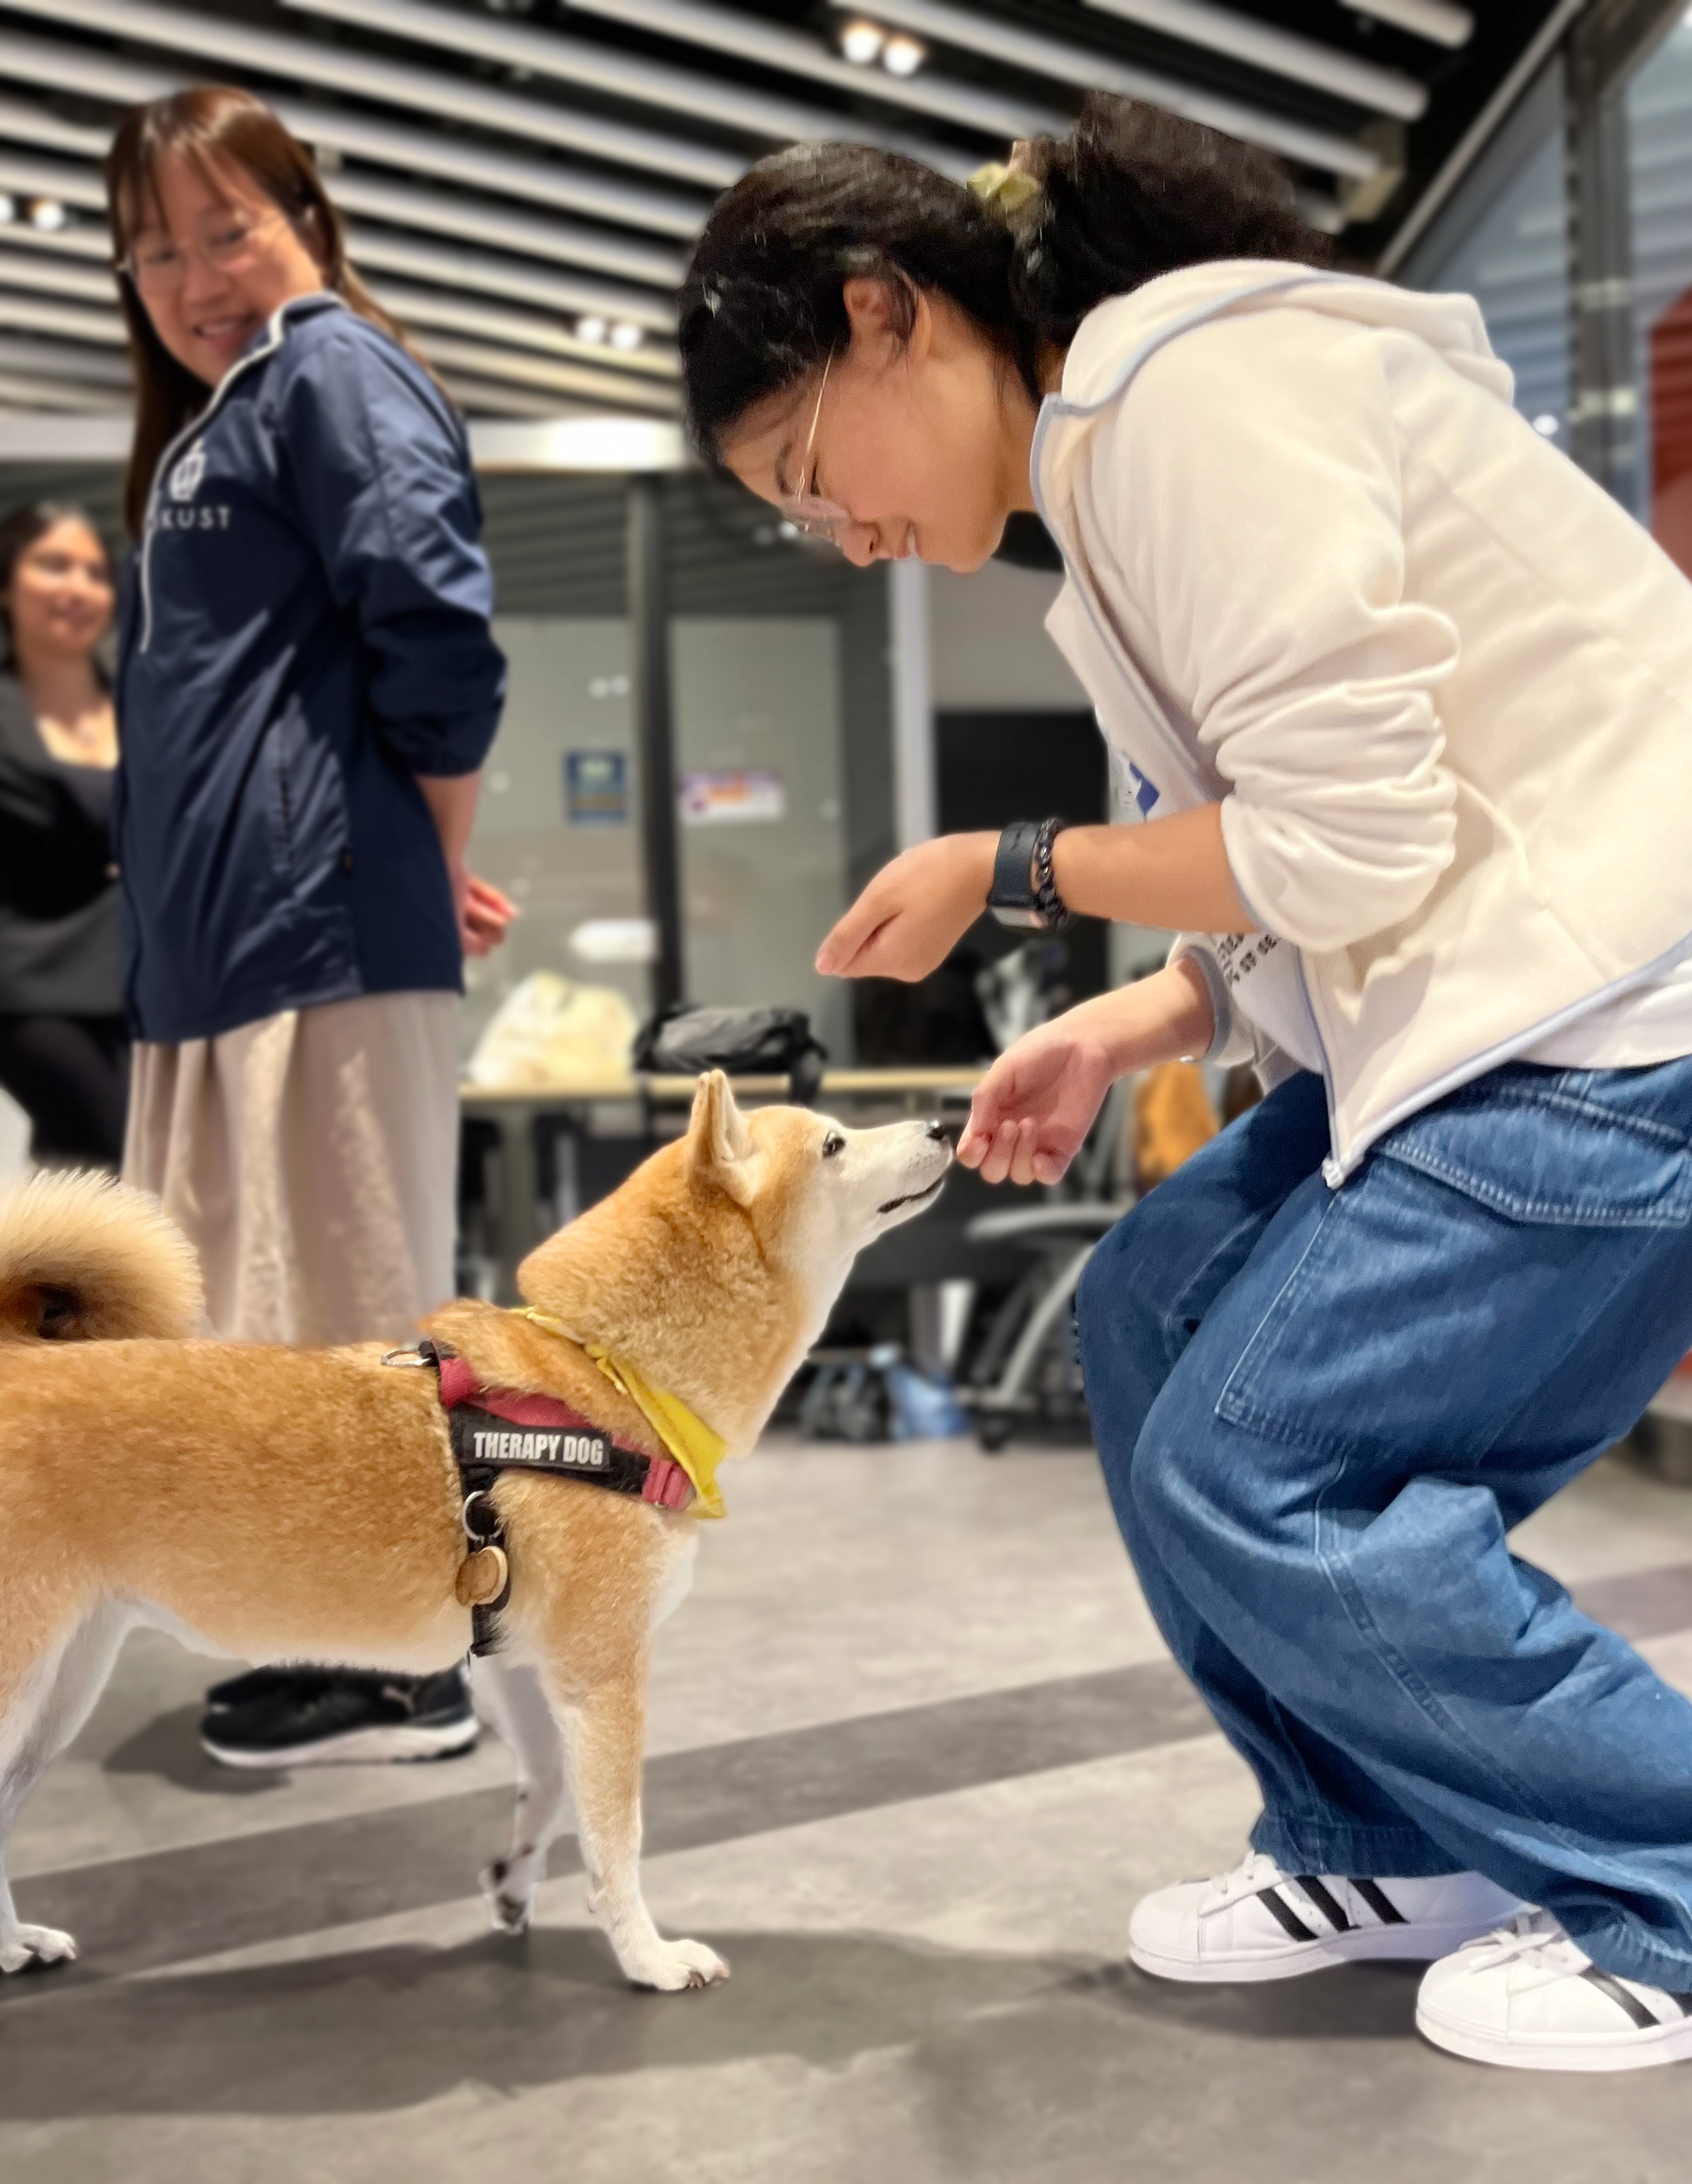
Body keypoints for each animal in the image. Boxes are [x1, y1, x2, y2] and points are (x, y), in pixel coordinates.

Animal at [0, 1074, 952, 2000]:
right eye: (833, 1142)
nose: (947, 1121)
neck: (607, 1372)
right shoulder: (603, 1672)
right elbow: (617, 1836)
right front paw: (647, 1956)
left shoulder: (525, 1666)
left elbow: (551, 1795)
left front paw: (515, 1882)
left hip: (58, 1691)